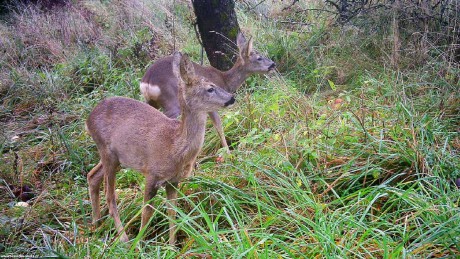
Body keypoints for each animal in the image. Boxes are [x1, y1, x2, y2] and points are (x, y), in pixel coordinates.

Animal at [86, 51, 235, 245]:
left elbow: (173, 212)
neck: (175, 147)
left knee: (92, 175)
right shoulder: (151, 174)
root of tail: (88, 120)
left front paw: (171, 246)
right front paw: (139, 244)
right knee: (110, 196)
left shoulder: (174, 181)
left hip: (116, 158)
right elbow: (146, 212)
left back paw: (96, 225)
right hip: (107, 153)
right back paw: (124, 239)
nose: (232, 98)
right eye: (210, 88)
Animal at [140, 33, 274, 153]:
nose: (273, 64)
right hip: (171, 103)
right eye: (259, 58)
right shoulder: (211, 105)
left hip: (152, 102)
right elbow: (219, 127)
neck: (224, 80)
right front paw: (228, 153)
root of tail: (147, 81)